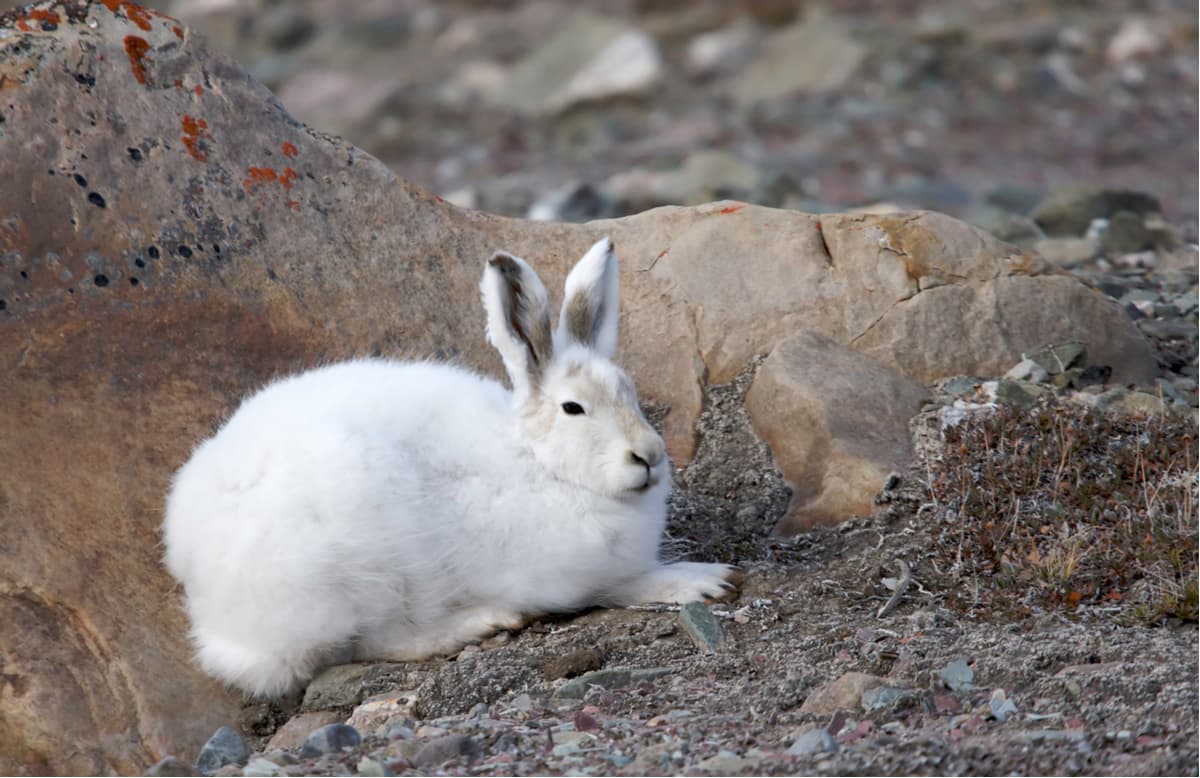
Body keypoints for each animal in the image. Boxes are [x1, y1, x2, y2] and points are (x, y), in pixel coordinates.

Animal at [163, 237, 737, 699]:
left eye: (631, 392)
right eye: (574, 408)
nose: (649, 455)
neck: (543, 465)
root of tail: (199, 588)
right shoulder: (565, 578)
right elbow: (621, 585)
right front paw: (705, 580)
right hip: (354, 578)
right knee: (367, 643)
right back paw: (480, 622)